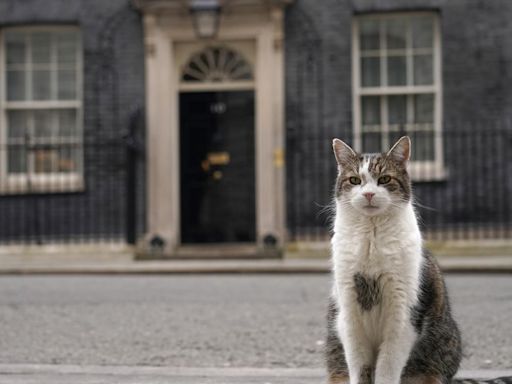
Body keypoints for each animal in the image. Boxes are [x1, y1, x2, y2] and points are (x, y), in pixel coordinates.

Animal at [324, 136, 464, 384]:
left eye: (385, 179)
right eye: (355, 180)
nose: (369, 194)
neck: (371, 237)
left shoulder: (402, 313)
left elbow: (388, 367)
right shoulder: (349, 311)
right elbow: (358, 365)